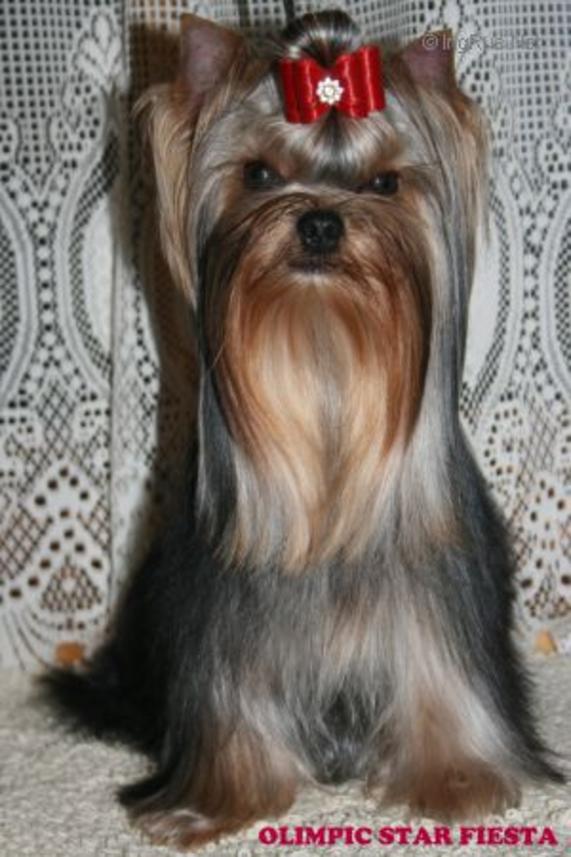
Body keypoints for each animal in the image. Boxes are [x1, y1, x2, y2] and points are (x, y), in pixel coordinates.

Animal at [45, 9, 561, 849]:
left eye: (384, 182)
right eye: (257, 174)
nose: (319, 222)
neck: (324, 362)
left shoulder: (435, 584)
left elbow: (440, 668)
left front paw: (456, 781)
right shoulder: (219, 600)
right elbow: (229, 696)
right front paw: (210, 801)